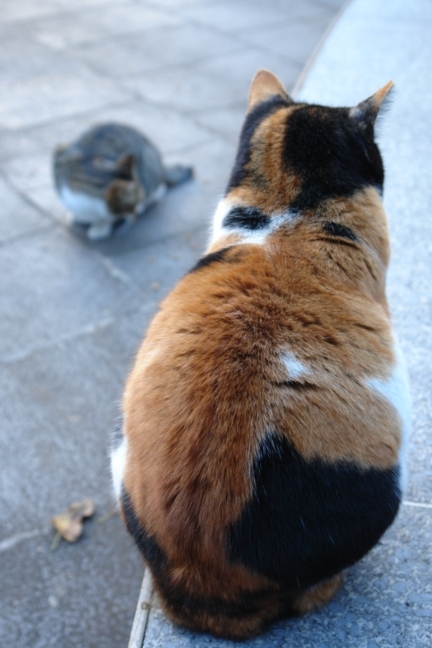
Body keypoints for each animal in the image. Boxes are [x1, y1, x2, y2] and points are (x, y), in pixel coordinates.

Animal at [52, 124, 192, 240]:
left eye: (135, 203)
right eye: (131, 205)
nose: (136, 213)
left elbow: (107, 218)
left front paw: (101, 227)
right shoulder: (59, 152)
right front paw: (79, 217)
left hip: (147, 166)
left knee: (160, 190)